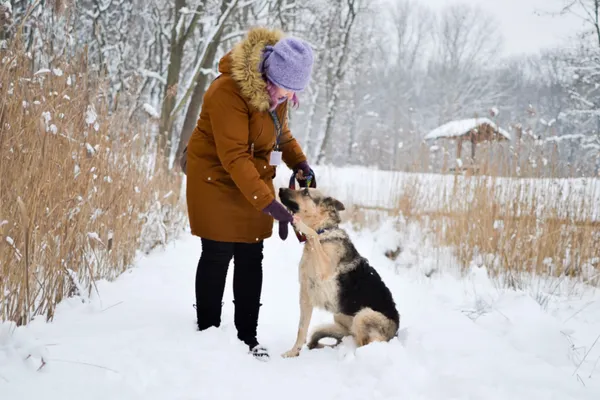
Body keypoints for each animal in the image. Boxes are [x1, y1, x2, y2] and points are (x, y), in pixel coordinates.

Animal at [278, 186, 400, 358]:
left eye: (305, 192)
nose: (280, 189)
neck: (324, 232)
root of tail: (395, 333)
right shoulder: (305, 295)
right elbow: (301, 329)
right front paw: (293, 352)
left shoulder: (323, 270)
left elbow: (313, 235)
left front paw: (301, 225)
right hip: (339, 319)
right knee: (334, 338)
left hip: (363, 315)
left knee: (363, 344)